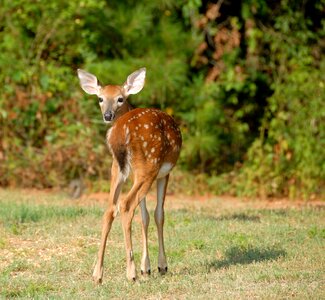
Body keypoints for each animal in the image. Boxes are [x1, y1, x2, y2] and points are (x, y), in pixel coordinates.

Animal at [77, 66, 181, 284]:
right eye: (100, 98)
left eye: (120, 98)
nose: (108, 115)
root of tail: (120, 131)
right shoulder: (164, 173)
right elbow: (158, 214)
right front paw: (160, 266)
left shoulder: (131, 172)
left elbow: (145, 216)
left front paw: (146, 268)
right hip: (149, 166)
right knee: (125, 205)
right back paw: (131, 273)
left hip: (117, 167)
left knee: (110, 208)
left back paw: (97, 274)